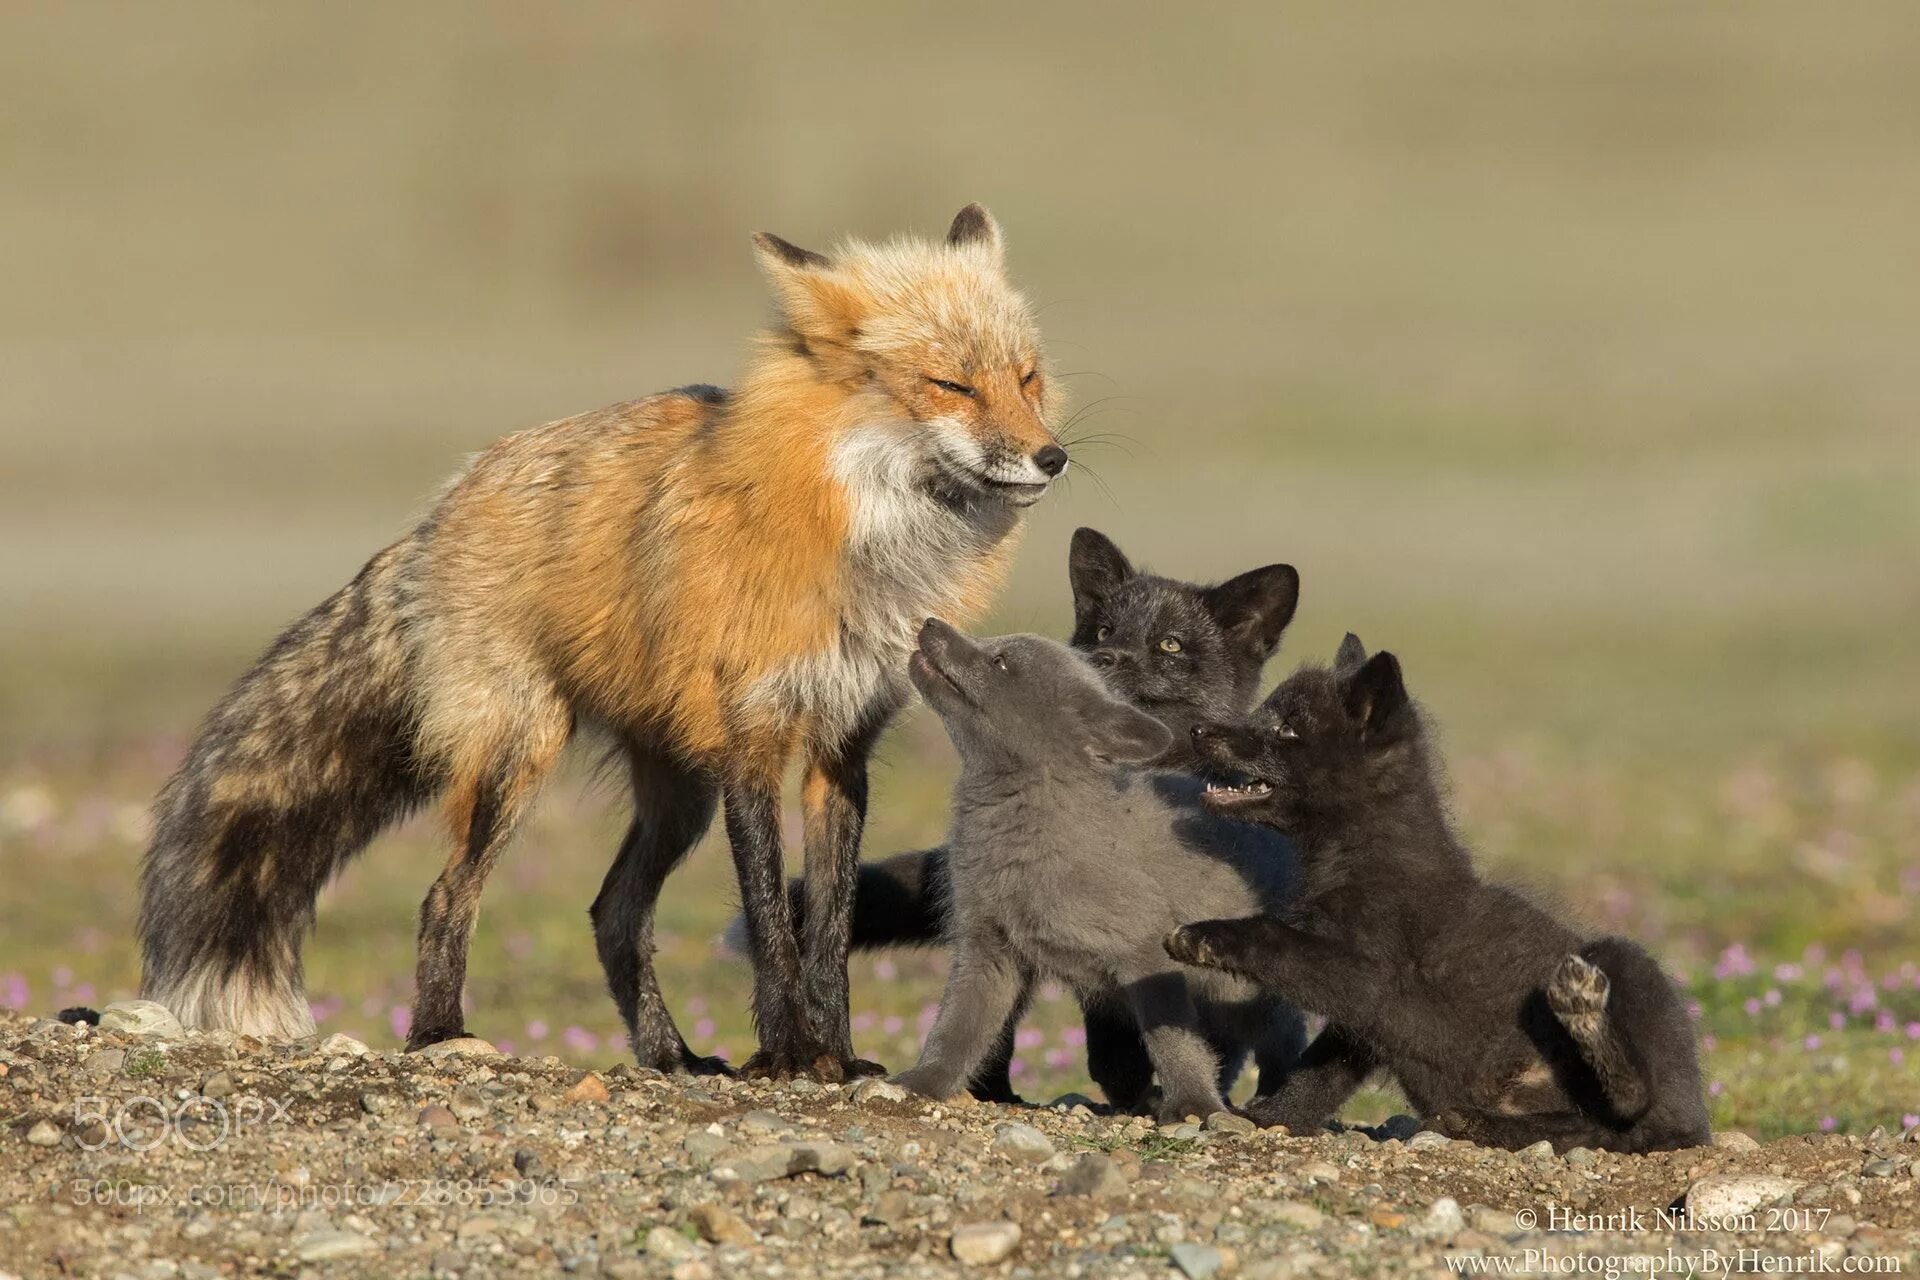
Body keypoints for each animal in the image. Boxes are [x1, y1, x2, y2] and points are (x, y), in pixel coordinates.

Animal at [135, 202, 1067, 1082]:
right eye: (950, 385)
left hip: (678, 794)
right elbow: (773, 920)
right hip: (520, 756)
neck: (864, 542)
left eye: (1025, 377)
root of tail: (439, 511)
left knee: (612, 913)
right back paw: (440, 1033)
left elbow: (829, 927)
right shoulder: (751, 740)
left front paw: (836, 1055)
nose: (1052, 457)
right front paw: (791, 1054)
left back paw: (669, 1054)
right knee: (446, 898)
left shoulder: (841, 748)